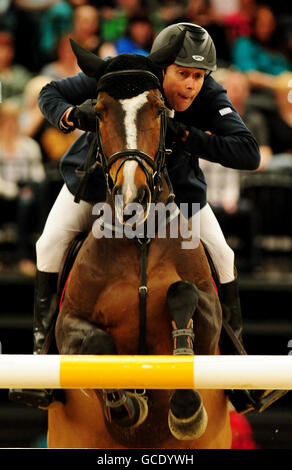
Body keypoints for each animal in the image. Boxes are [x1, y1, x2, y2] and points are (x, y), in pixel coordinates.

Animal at [46, 39, 232, 448]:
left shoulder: (210, 316)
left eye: (160, 111)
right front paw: (126, 406)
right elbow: (96, 345)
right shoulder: (68, 325)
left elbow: (183, 295)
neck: (140, 239)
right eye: (98, 113)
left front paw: (185, 409)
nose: (132, 198)